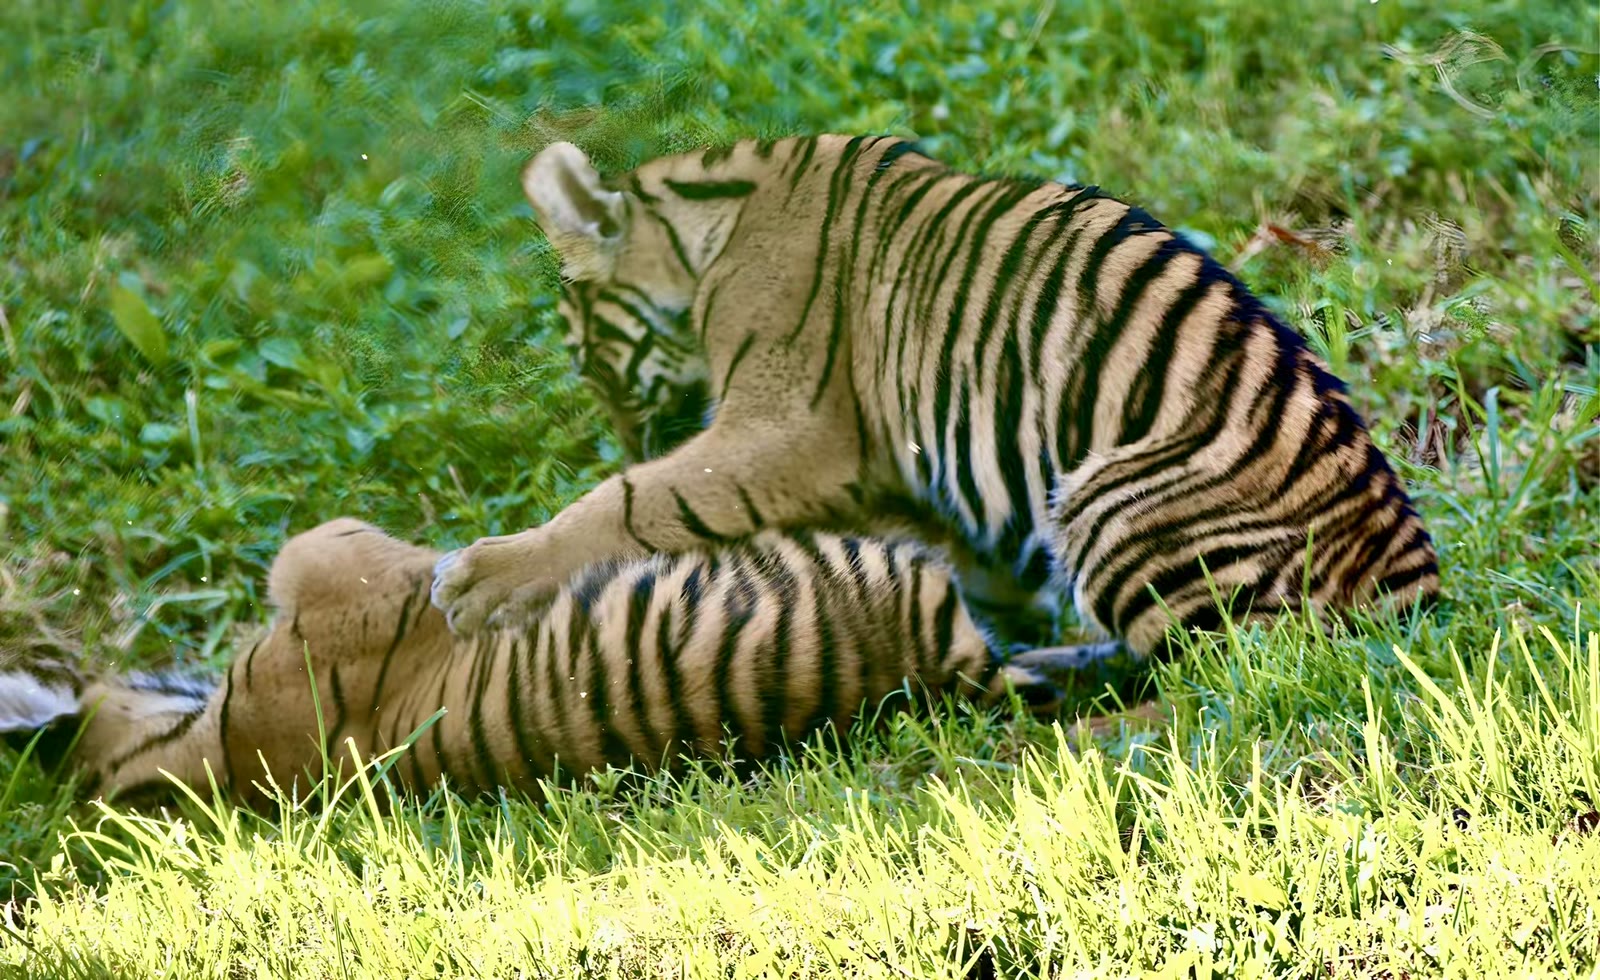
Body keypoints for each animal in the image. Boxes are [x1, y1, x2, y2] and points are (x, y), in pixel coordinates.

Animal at [428, 135, 1440, 659]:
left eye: (593, 363)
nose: (631, 434)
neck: (705, 232)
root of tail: (1417, 587)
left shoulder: (784, 427)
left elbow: (638, 502)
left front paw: (479, 579)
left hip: (1109, 496)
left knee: (1216, 680)